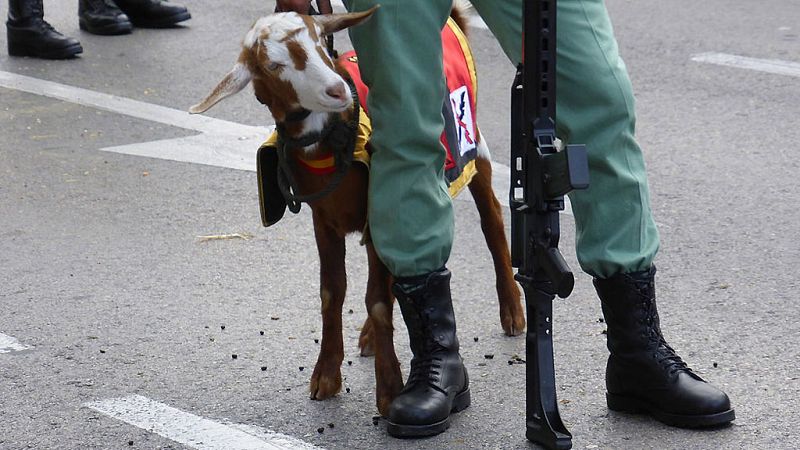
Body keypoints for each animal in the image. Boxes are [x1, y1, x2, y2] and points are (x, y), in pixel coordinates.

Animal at [189, 7, 524, 416]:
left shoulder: (379, 211)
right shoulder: (324, 220)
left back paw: (512, 309)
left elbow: (377, 299)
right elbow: (333, 291)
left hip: (473, 143)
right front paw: (327, 374)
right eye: (272, 65)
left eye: (322, 42)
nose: (337, 90)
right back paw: (368, 337)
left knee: (492, 219)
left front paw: (390, 389)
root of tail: (453, 20)